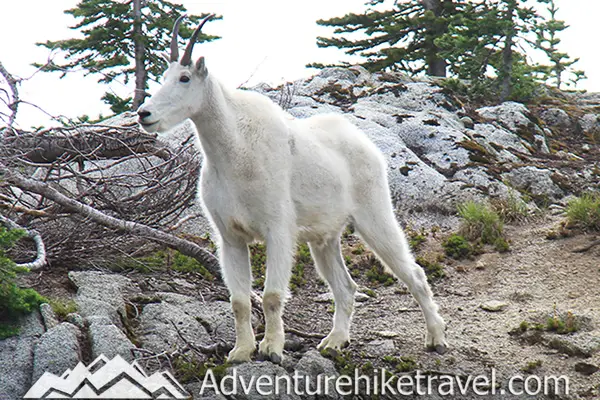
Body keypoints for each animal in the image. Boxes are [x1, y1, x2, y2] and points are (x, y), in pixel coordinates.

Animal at [136, 14, 446, 362]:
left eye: (185, 78)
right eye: (164, 76)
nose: (145, 114)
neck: (233, 150)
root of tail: (367, 145)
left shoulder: (278, 229)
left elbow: (271, 295)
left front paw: (272, 348)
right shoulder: (230, 237)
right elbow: (239, 301)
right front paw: (241, 351)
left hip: (375, 215)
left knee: (413, 273)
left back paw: (436, 338)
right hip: (325, 238)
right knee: (345, 286)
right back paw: (335, 340)